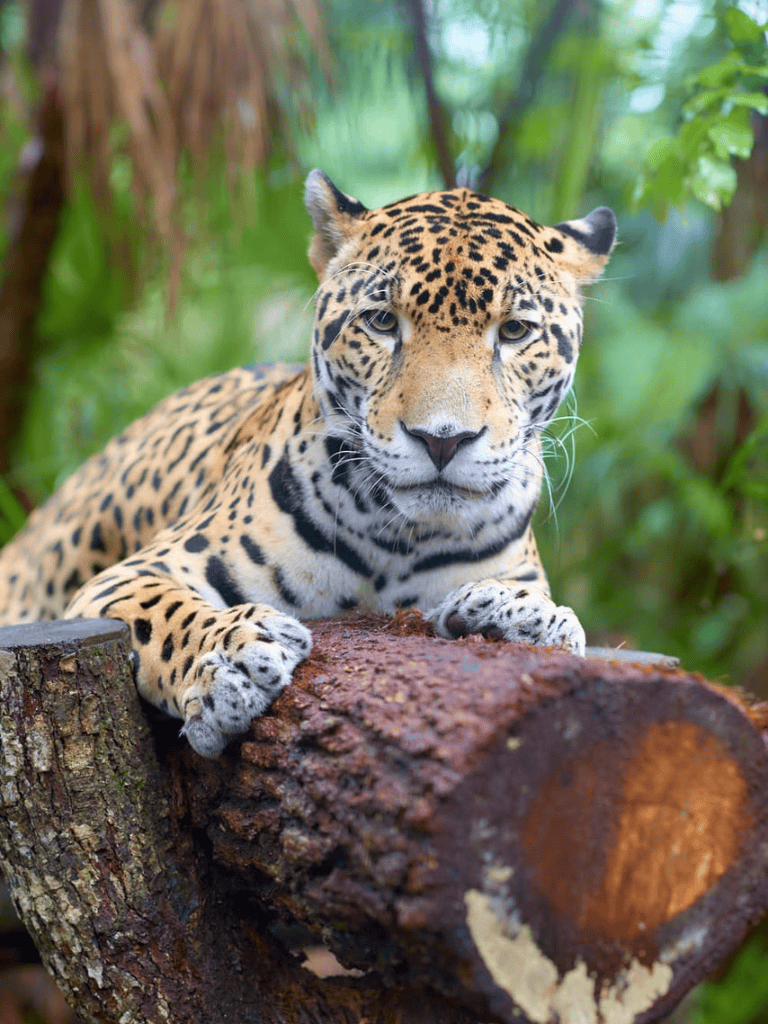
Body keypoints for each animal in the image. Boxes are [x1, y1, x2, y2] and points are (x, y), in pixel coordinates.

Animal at [0, 170, 616, 757]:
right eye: (382, 321)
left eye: (514, 331)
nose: (442, 439)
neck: (402, 541)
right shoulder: (135, 572)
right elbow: (166, 613)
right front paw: (231, 659)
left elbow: (547, 612)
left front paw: (523, 614)